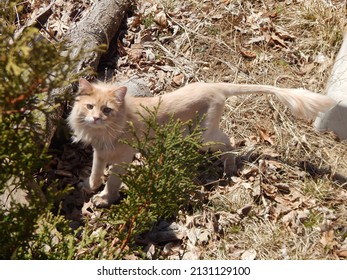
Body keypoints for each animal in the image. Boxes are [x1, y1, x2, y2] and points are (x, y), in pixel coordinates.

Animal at [68, 77, 338, 207]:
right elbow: (95, 173)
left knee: (229, 142)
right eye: (90, 107)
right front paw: (90, 186)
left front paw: (105, 199)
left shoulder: (123, 158)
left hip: (204, 135)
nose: (95, 118)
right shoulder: (100, 152)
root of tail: (214, 85)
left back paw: (229, 168)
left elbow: (112, 182)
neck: (104, 133)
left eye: (107, 110)